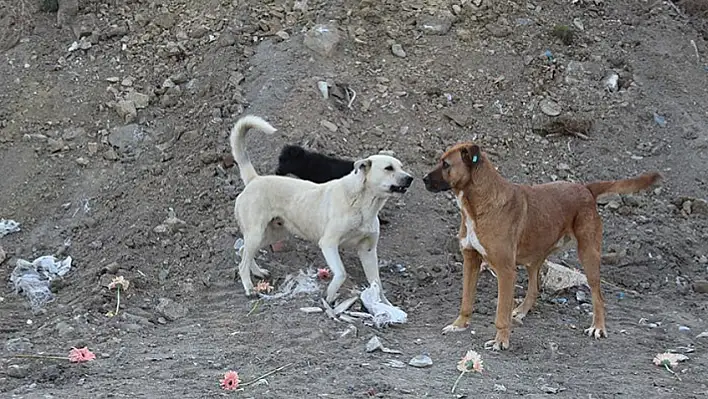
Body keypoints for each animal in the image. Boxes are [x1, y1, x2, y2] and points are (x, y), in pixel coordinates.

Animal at [230, 115, 412, 304]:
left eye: (401, 167)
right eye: (388, 168)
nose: (410, 178)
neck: (363, 204)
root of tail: (254, 179)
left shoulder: (367, 250)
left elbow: (377, 283)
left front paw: (385, 304)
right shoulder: (328, 243)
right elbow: (341, 273)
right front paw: (329, 295)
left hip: (274, 233)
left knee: (243, 251)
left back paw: (258, 272)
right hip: (257, 233)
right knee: (242, 263)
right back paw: (249, 288)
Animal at [424, 144, 660, 350]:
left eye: (445, 164)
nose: (423, 180)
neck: (478, 205)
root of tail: (585, 188)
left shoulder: (505, 270)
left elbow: (500, 315)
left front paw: (501, 341)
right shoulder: (471, 261)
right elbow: (466, 301)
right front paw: (459, 325)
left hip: (588, 255)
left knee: (598, 296)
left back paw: (598, 327)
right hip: (535, 257)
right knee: (534, 289)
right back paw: (521, 310)